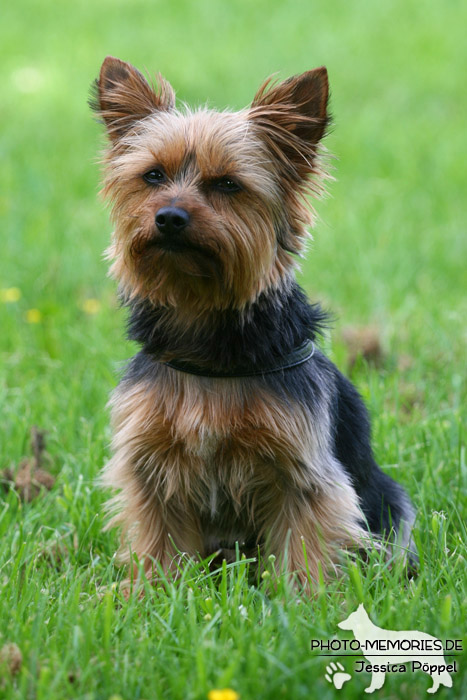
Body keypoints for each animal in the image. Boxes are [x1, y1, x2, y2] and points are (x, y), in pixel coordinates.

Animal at [90, 57, 416, 588]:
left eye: (227, 184)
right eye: (153, 176)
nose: (169, 217)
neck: (202, 321)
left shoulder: (302, 469)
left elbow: (306, 539)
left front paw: (302, 598)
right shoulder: (151, 460)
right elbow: (159, 535)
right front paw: (152, 589)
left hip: (391, 503)